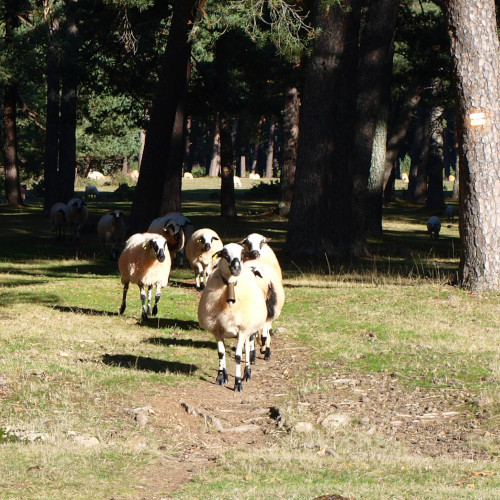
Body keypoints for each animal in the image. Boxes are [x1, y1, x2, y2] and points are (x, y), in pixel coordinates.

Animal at [198, 242, 270, 390]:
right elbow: (221, 353)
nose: (236, 268)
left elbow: (237, 356)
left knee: (247, 350)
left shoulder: (242, 330)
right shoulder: (217, 330)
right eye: (224, 254)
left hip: (249, 330)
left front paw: (237, 383)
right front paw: (221, 377)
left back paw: (247, 374)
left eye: (242, 254)